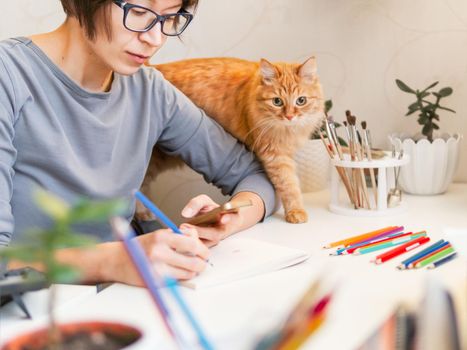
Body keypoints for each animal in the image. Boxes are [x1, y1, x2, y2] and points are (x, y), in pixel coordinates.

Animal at [143, 56, 326, 223]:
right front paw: (296, 212)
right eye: (277, 102)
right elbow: (289, 185)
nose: (289, 116)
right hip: (156, 159)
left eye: (301, 101)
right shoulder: (275, 155)